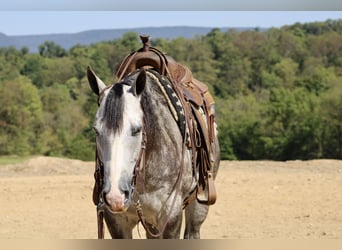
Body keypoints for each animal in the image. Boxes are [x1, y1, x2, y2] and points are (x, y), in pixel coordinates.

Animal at [86, 67, 219, 239]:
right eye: (96, 130)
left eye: (137, 130)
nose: (115, 196)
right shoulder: (117, 221)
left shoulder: (171, 216)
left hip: (199, 204)